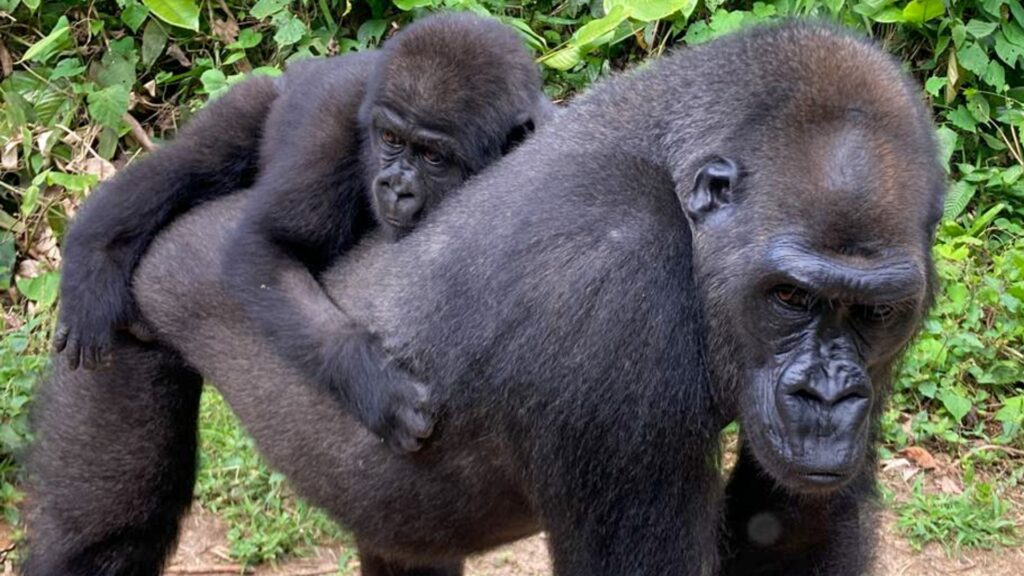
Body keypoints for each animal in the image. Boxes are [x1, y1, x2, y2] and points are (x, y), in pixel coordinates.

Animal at [54, 10, 552, 448]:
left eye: (434, 157)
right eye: (391, 139)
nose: (395, 187)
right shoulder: (329, 128)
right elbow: (266, 247)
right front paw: (368, 379)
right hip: (262, 95)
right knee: (195, 162)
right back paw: (95, 253)